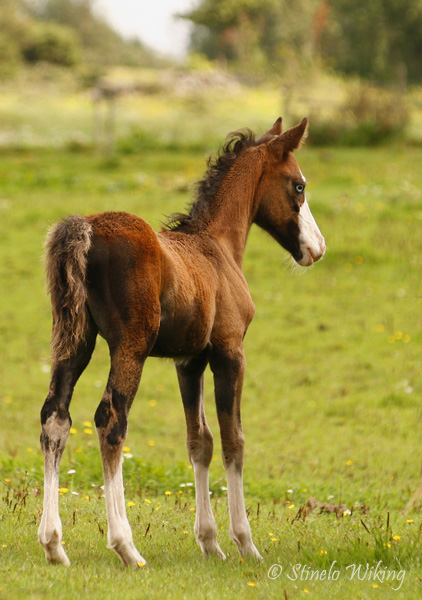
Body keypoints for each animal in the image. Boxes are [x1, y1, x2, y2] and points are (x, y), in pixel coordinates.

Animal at [38, 116, 324, 568]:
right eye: (298, 185)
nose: (317, 248)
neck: (218, 247)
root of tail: (86, 227)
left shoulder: (189, 361)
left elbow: (199, 441)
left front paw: (209, 542)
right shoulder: (230, 353)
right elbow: (233, 440)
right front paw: (245, 542)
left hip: (74, 341)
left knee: (55, 417)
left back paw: (53, 544)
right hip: (130, 346)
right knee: (110, 420)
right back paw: (126, 546)